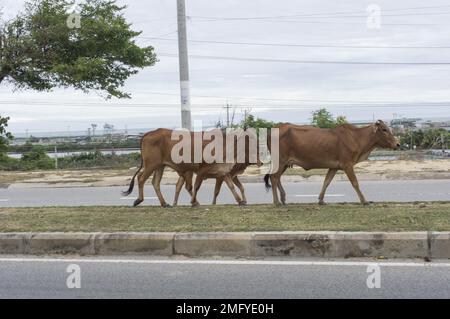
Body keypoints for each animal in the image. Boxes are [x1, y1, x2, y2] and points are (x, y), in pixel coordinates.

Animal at [264, 121, 400, 206]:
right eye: (384, 129)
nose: (397, 144)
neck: (357, 137)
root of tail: (272, 130)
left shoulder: (334, 167)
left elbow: (327, 182)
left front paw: (321, 200)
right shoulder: (347, 165)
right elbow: (355, 183)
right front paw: (364, 201)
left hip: (285, 164)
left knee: (277, 178)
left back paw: (283, 198)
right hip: (280, 161)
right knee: (274, 177)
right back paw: (276, 201)